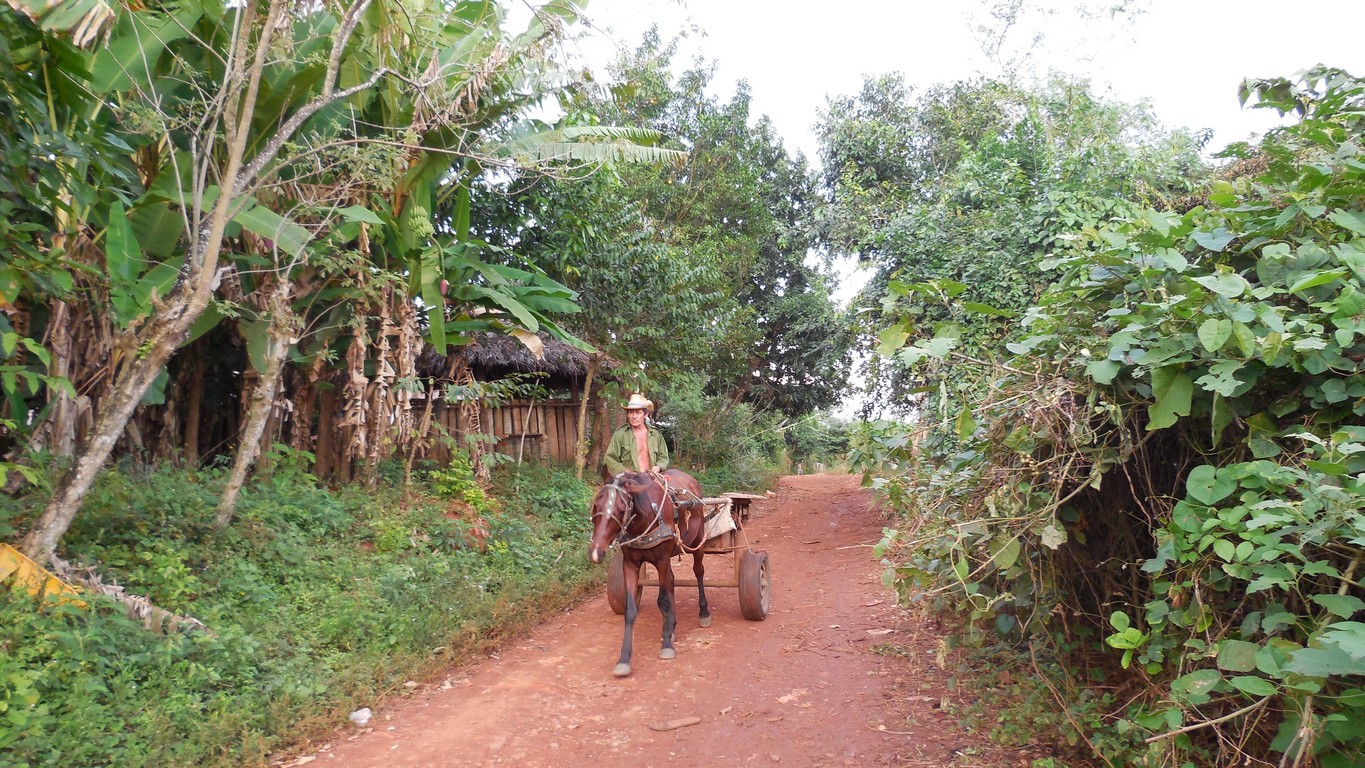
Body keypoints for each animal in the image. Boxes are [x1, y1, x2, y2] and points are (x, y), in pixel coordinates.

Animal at [589, 469, 715, 679]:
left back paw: (703, 612)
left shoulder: (662, 559)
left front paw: (667, 645)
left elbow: (663, 601)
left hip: (698, 541)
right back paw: (671, 626)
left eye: (621, 508)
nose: (596, 552)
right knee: (671, 581)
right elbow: (631, 609)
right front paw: (624, 659)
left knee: (698, 572)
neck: (645, 517)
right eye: (596, 505)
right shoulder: (630, 564)